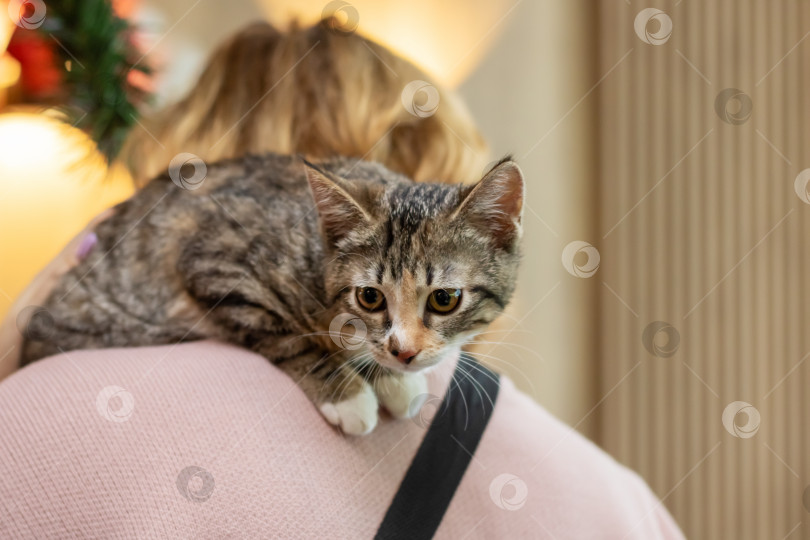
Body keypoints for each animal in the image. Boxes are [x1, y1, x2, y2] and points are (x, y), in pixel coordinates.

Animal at [22, 151, 524, 434]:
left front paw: (389, 376)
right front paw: (350, 391)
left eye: (444, 299)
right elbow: (286, 337)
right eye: (370, 298)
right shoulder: (214, 261)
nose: (404, 353)